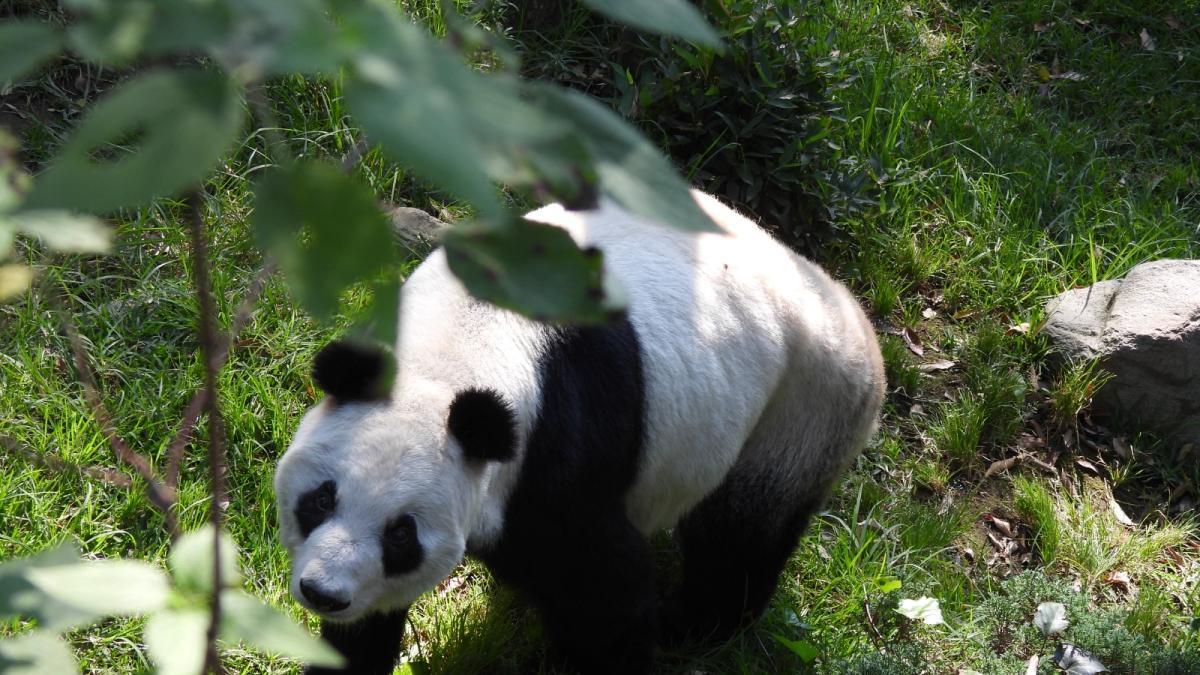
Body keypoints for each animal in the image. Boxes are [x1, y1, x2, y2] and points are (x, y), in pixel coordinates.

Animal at [273, 190, 885, 675]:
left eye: (401, 534)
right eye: (320, 499)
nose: (323, 593)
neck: (449, 354)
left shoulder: (556, 447)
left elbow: (605, 595)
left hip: (806, 404)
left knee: (741, 531)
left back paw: (692, 626)